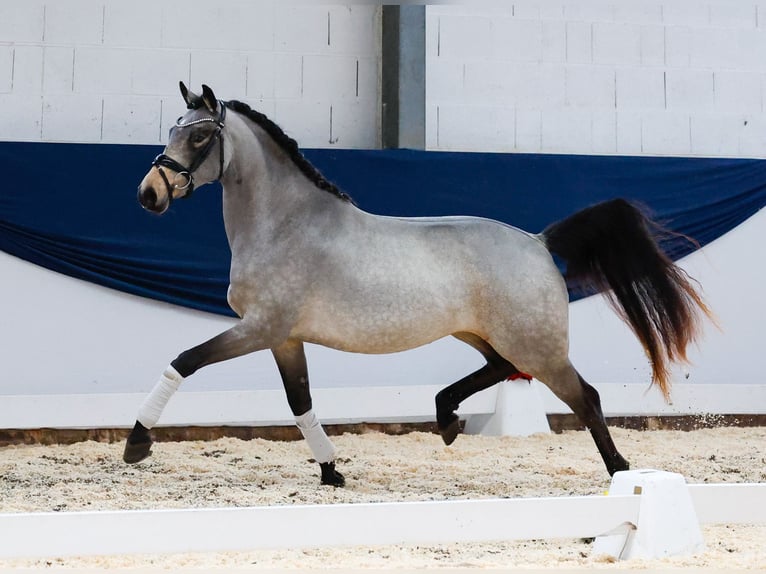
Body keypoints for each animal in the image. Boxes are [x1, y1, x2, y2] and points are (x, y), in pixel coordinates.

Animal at [124, 82, 712, 486]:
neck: (285, 224)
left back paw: (621, 472)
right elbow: (300, 403)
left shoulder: (258, 328)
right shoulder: (283, 339)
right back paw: (446, 416)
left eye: (201, 134)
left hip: (538, 346)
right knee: (500, 368)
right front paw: (332, 472)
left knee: (584, 397)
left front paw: (137, 443)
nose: (148, 194)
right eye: (173, 128)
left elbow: (184, 361)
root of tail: (539, 241)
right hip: (483, 333)